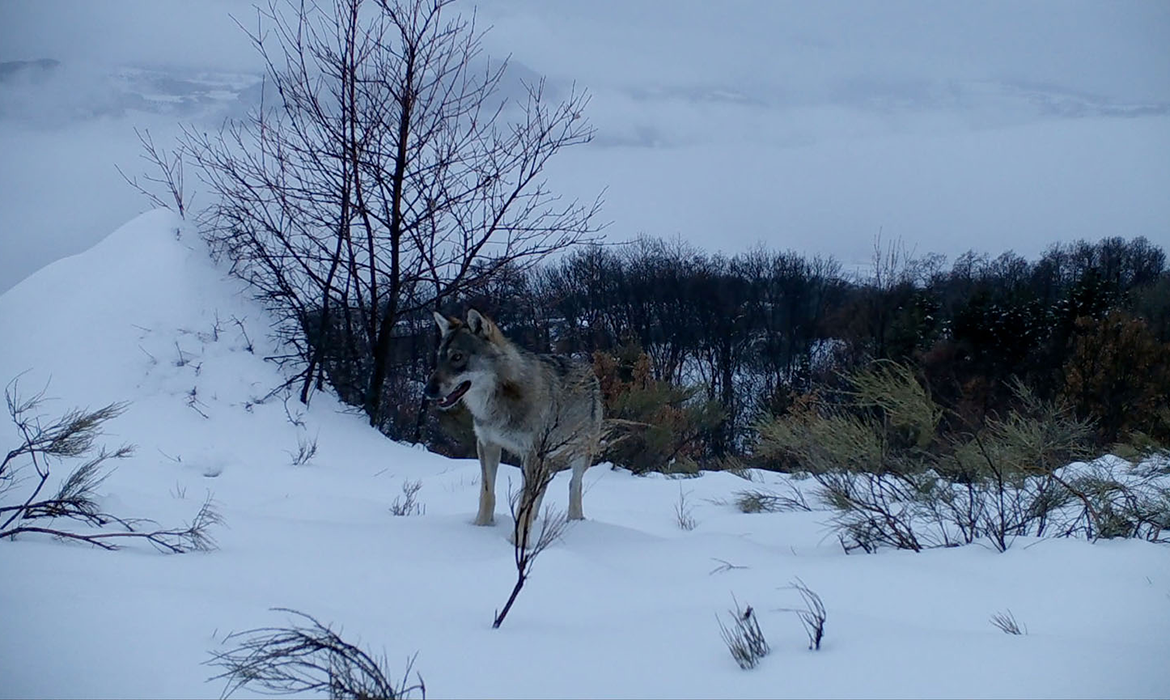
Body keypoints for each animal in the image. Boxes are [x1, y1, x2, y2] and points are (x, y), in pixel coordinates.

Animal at [423, 309, 603, 529]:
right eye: (440, 358)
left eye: (457, 357)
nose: (427, 391)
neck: (495, 406)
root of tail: (589, 370)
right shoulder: (487, 445)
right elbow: (487, 494)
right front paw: (480, 527)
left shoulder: (531, 455)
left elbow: (523, 505)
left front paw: (515, 537)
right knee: (543, 488)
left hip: (580, 455)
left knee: (574, 485)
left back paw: (575, 522)